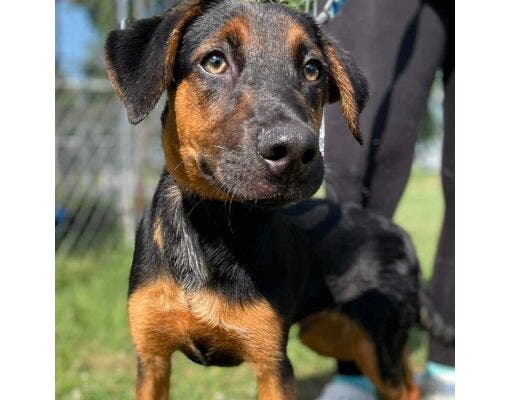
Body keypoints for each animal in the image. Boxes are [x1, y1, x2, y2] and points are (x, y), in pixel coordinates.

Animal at [104, 1, 454, 398]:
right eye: (214, 61)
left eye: (313, 70)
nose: (295, 151)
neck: (212, 225)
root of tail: (400, 235)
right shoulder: (151, 359)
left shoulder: (273, 364)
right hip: (333, 333)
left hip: (374, 337)